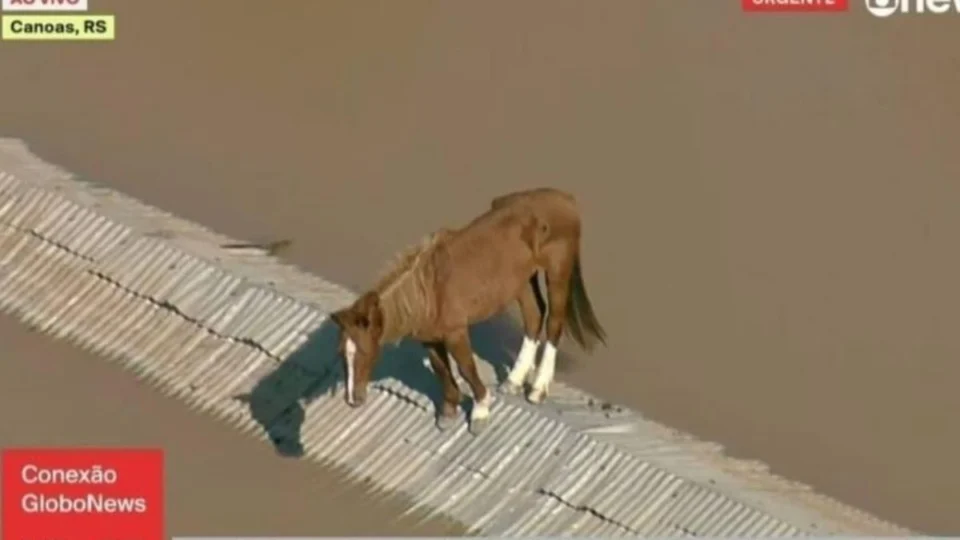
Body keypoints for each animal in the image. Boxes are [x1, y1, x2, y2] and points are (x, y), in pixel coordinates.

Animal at [330, 187, 607, 435]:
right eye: (342, 353)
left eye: (364, 352)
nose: (352, 399)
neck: (428, 291)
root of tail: (565, 198)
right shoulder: (430, 338)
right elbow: (441, 369)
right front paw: (448, 412)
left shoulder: (456, 333)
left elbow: (466, 368)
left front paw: (480, 412)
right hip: (522, 280)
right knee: (534, 316)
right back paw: (513, 381)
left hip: (557, 271)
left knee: (554, 322)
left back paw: (537, 389)